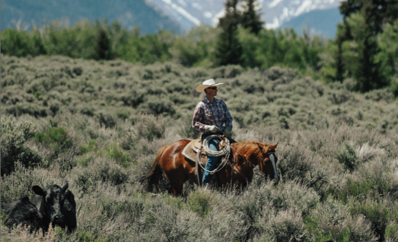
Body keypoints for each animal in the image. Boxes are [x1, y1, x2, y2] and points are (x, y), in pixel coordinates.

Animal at [140, 138, 280, 197]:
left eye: (276, 159)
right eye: (267, 161)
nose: (276, 180)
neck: (237, 162)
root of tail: (167, 147)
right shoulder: (227, 188)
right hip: (176, 183)